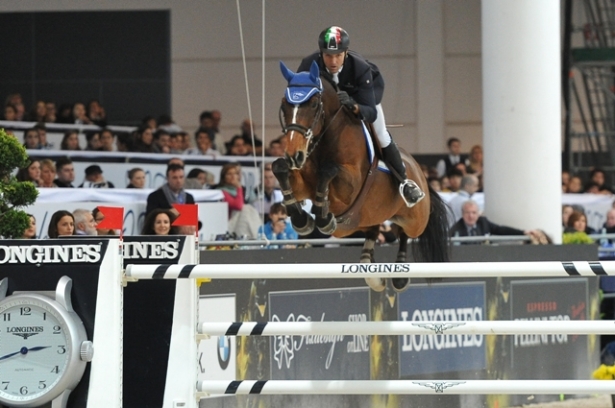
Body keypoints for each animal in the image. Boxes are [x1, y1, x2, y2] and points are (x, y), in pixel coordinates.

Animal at [272, 60, 450, 292]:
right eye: (285, 104)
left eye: (313, 104)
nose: (294, 155)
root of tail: (419, 171)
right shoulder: (303, 183)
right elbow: (279, 168)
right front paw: (302, 219)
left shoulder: (348, 187)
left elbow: (328, 171)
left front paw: (322, 216)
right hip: (361, 221)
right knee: (373, 231)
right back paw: (373, 272)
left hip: (415, 219)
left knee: (405, 234)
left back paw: (399, 275)